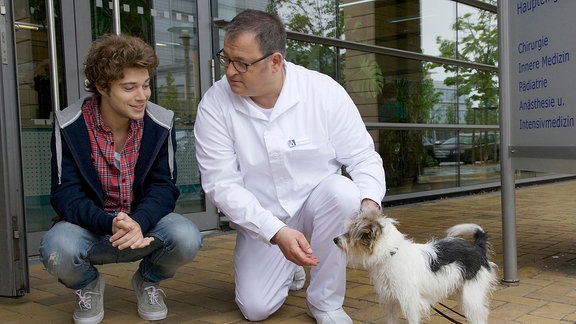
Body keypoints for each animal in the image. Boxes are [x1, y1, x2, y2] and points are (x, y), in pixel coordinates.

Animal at [336, 209, 498, 322]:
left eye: (353, 233)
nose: (335, 239)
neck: (391, 254)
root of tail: (477, 246)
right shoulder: (391, 302)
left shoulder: (410, 304)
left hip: (472, 296)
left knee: (480, 315)